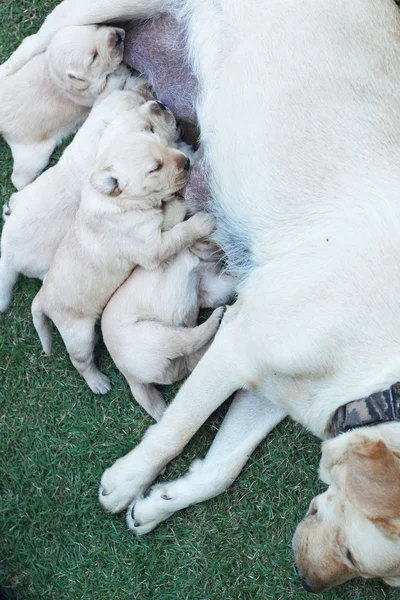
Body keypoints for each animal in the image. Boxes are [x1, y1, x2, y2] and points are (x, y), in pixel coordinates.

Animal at [0, 24, 126, 190]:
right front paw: (119, 73)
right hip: (33, 157)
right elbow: (105, 92)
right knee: (19, 179)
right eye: (94, 57)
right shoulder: (93, 95)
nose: (117, 36)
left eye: (95, 26)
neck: (54, 77)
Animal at [101, 213, 236, 420]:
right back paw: (216, 319)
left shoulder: (209, 285)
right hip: (157, 334)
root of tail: (131, 378)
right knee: (191, 340)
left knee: (194, 357)